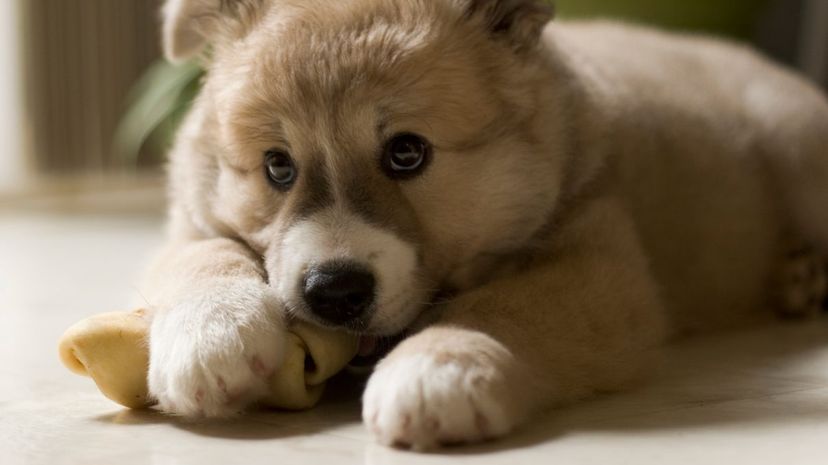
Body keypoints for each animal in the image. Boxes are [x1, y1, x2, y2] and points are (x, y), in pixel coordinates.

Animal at [144, 0, 828, 450]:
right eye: (277, 166)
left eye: (407, 153)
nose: (334, 294)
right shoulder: (186, 219)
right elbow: (201, 257)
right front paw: (211, 336)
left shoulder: (603, 263)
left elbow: (503, 308)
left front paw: (439, 369)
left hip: (798, 157)